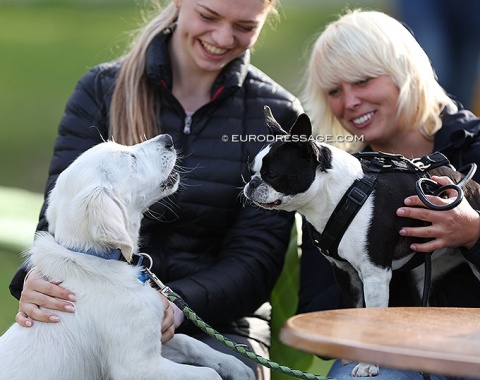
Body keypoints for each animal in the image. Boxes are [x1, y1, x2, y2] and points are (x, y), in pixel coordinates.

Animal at [0, 134, 255, 380]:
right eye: (131, 159)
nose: (168, 139)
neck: (101, 258)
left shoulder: (153, 339)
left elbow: (188, 341)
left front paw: (237, 366)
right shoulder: (139, 366)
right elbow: (209, 374)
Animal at [244, 106, 480, 378]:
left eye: (272, 175)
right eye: (252, 171)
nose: (251, 184)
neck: (339, 193)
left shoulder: (375, 274)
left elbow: (371, 320)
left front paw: (368, 364)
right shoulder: (346, 275)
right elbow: (353, 315)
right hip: (423, 279)